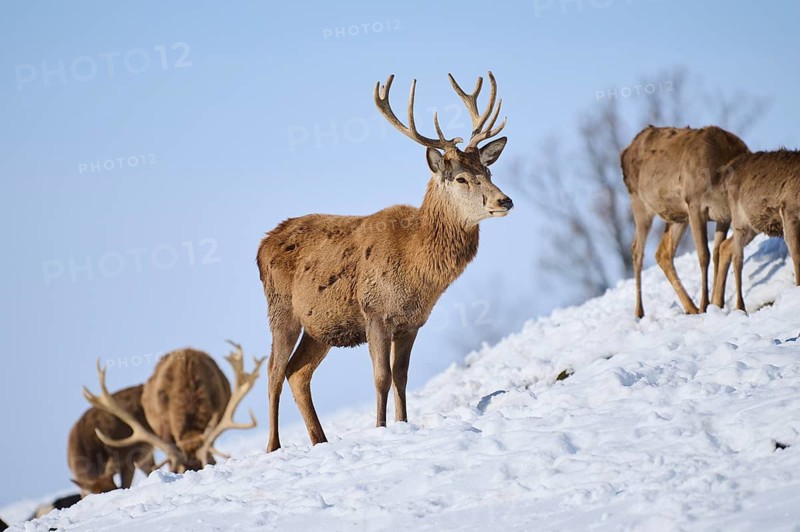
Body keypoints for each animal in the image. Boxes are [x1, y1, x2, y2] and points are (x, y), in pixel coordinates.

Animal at [257, 71, 513, 452]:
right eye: (462, 178)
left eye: (489, 171)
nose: (504, 200)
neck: (416, 264)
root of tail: (262, 244)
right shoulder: (374, 311)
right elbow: (381, 376)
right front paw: (380, 428)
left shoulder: (412, 322)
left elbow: (402, 377)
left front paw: (403, 423)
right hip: (281, 310)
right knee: (273, 371)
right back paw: (274, 447)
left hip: (321, 326)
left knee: (297, 371)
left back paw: (321, 440)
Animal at [620, 125, 749, 318]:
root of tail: (624, 152)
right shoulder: (695, 204)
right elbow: (704, 255)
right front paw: (705, 305)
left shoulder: (723, 216)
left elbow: (717, 253)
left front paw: (715, 303)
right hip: (640, 203)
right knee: (637, 250)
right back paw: (639, 312)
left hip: (678, 217)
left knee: (663, 253)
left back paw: (691, 307)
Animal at [711, 149, 800, 312]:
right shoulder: (789, 212)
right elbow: (796, 257)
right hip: (739, 220)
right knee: (737, 258)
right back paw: (739, 307)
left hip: (752, 226)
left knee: (725, 246)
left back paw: (717, 303)